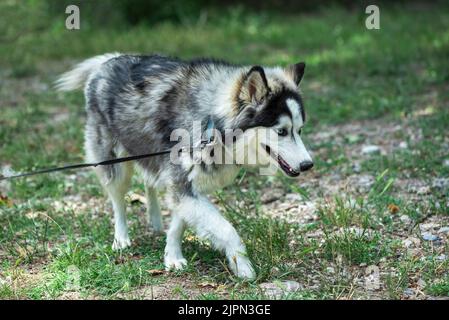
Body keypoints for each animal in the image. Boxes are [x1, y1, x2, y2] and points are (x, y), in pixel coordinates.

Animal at [56, 53, 314, 278]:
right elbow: (226, 229)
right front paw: (243, 266)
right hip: (115, 165)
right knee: (118, 201)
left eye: (300, 130)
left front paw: (172, 256)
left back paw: (155, 221)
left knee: (150, 181)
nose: (308, 164)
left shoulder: (187, 186)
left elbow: (179, 223)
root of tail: (107, 61)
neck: (212, 124)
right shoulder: (182, 185)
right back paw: (121, 238)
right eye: (281, 131)